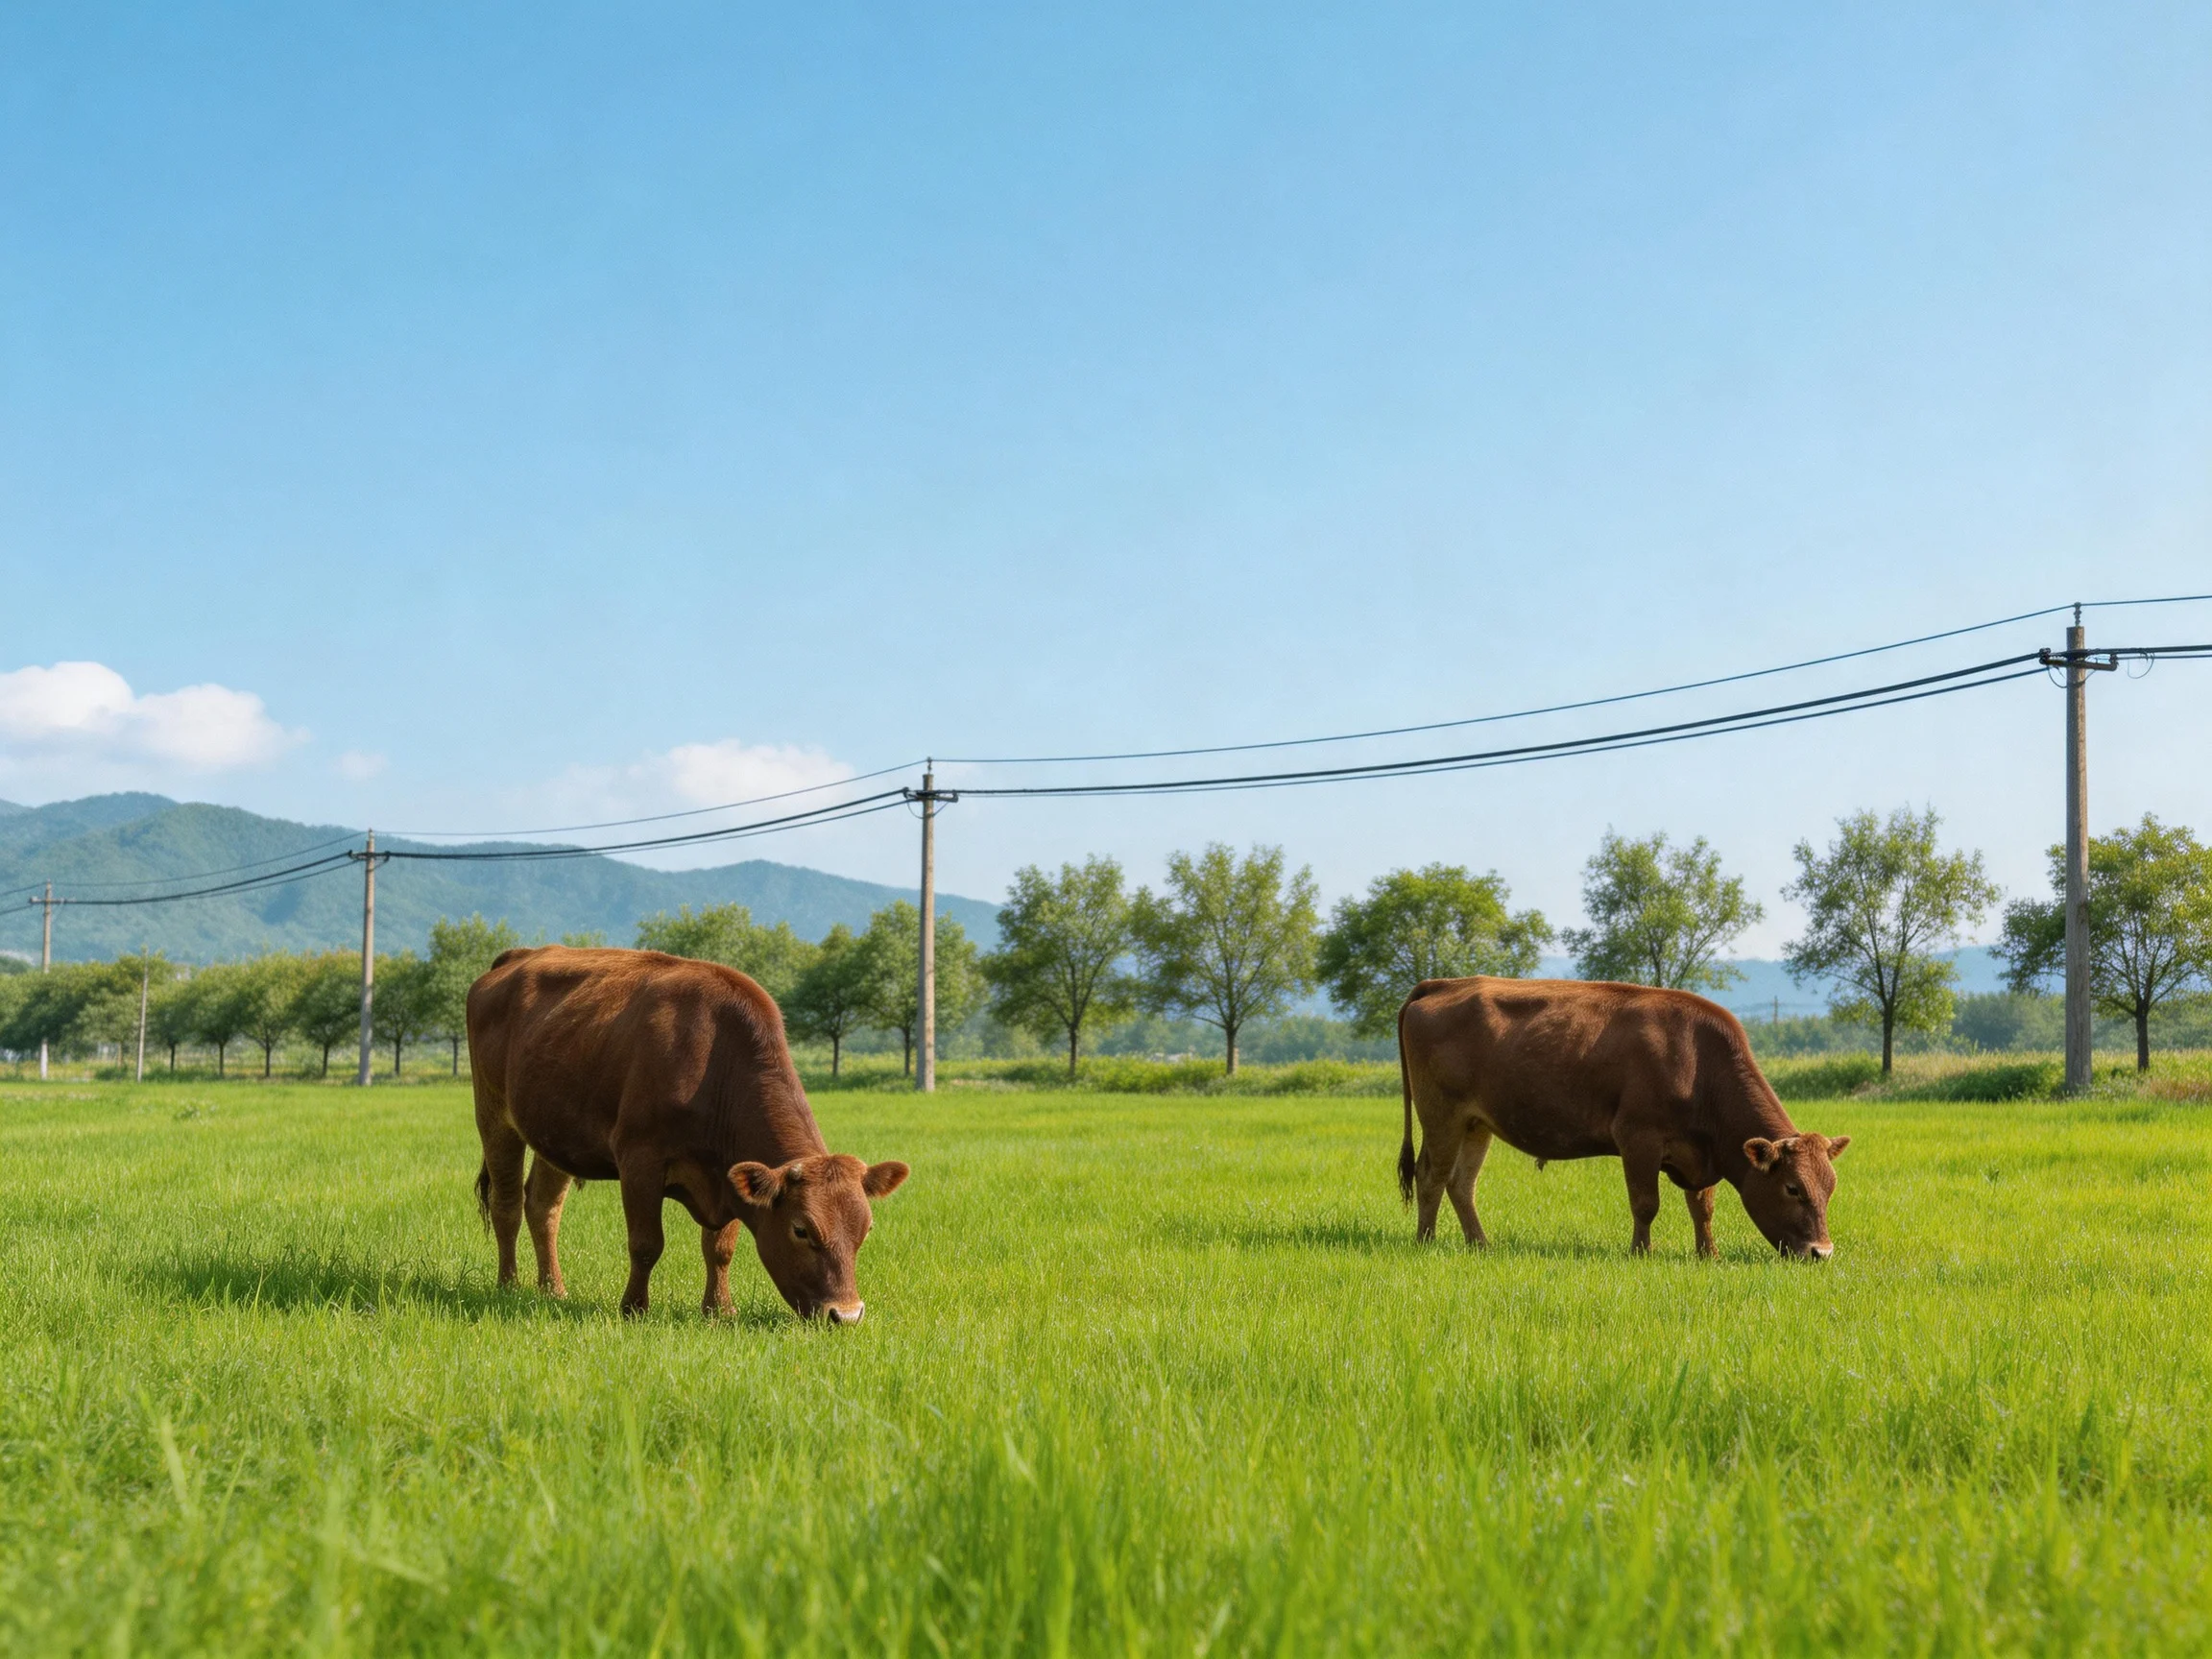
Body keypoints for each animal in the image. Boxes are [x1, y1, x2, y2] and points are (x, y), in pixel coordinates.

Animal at [465, 945, 909, 1322]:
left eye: (866, 1228)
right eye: (801, 1229)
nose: (846, 1314)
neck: (714, 1059)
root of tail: (517, 955)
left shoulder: (729, 1171)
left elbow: (720, 1249)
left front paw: (719, 1310)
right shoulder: (639, 1159)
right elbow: (646, 1244)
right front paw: (634, 1309)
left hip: (553, 1135)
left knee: (543, 1207)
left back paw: (552, 1290)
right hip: (494, 1115)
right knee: (506, 1202)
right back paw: (508, 1286)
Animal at [1396, 977, 1850, 1259]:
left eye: (1830, 1187)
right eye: (1793, 1188)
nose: (1822, 1252)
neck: (1697, 1061)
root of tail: (1443, 984)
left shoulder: (1702, 1153)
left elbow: (1702, 1207)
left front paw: (1709, 1254)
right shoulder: (1638, 1138)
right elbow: (1645, 1203)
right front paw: (1641, 1252)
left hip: (1476, 1124)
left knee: (1461, 1183)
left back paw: (1480, 1245)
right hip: (1441, 1115)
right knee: (1430, 1175)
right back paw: (1426, 1242)